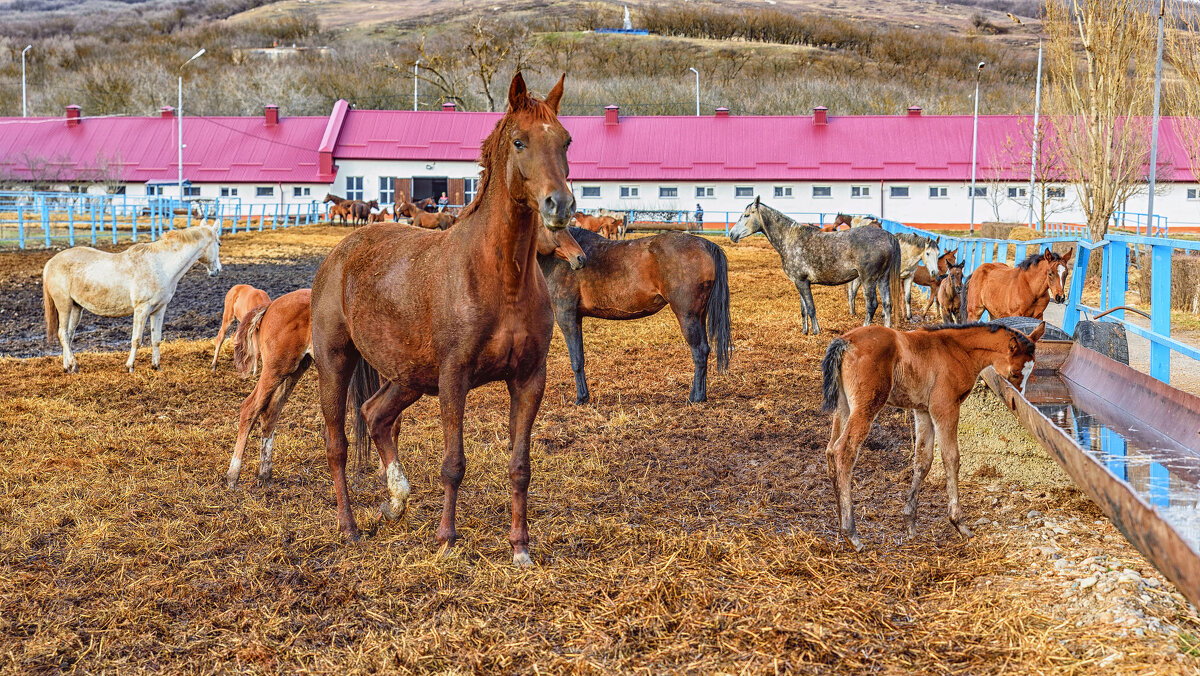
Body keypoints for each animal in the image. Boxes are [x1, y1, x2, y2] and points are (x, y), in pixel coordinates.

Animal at [41, 223, 223, 372]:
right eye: (219, 243)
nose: (218, 270)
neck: (160, 265)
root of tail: (50, 263)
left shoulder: (159, 310)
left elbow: (156, 339)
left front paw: (156, 366)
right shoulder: (141, 309)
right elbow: (136, 339)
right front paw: (130, 366)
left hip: (76, 308)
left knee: (69, 335)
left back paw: (68, 367)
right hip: (64, 305)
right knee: (63, 334)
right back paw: (74, 364)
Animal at [307, 71, 573, 566]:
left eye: (566, 140)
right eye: (521, 141)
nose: (559, 205)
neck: (500, 279)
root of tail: (341, 253)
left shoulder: (529, 378)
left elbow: (520, 466)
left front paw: (520, 547)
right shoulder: (454, 377)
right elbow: (454, 464)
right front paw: (447, 538)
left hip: (407, 377)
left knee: (376, 416)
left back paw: (396, 500)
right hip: (335, 362)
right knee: (337, 445)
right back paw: (349, 527)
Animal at [542, 226, 729, 408]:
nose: (578, 259)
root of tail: (705, 244)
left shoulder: (566, 317)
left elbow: (577, 359)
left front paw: (581, 398)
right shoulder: (576, 319)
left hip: (687, 316)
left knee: (699, 351)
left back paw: (695, 398)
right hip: (699, 316)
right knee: (705, 350)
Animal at [720, 194, 902, 333]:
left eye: (746, 215)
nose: (732, 234)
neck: (790, 239)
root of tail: (887, 235)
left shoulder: (802, 282)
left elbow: (811, 307)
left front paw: (816, 331)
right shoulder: (800, 282)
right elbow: (804, 309)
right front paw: (804, 331)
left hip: (868, 280)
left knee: (872, 305)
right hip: (883, 279)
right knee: (887, 305)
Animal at [820, 321, 1046, 549]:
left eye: (1031, 370)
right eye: (1015, 372)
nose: (1018, 402)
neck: (958, 349)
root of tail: (846, 341)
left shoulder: (923, 410)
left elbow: (923, 460)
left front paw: (910, 523)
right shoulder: (945, 408)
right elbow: (951, 458)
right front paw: (959, 523)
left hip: (843, 405)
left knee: (830, 450)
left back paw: (841, 524)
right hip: (867, 405)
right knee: (843, 451)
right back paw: (851, 533)